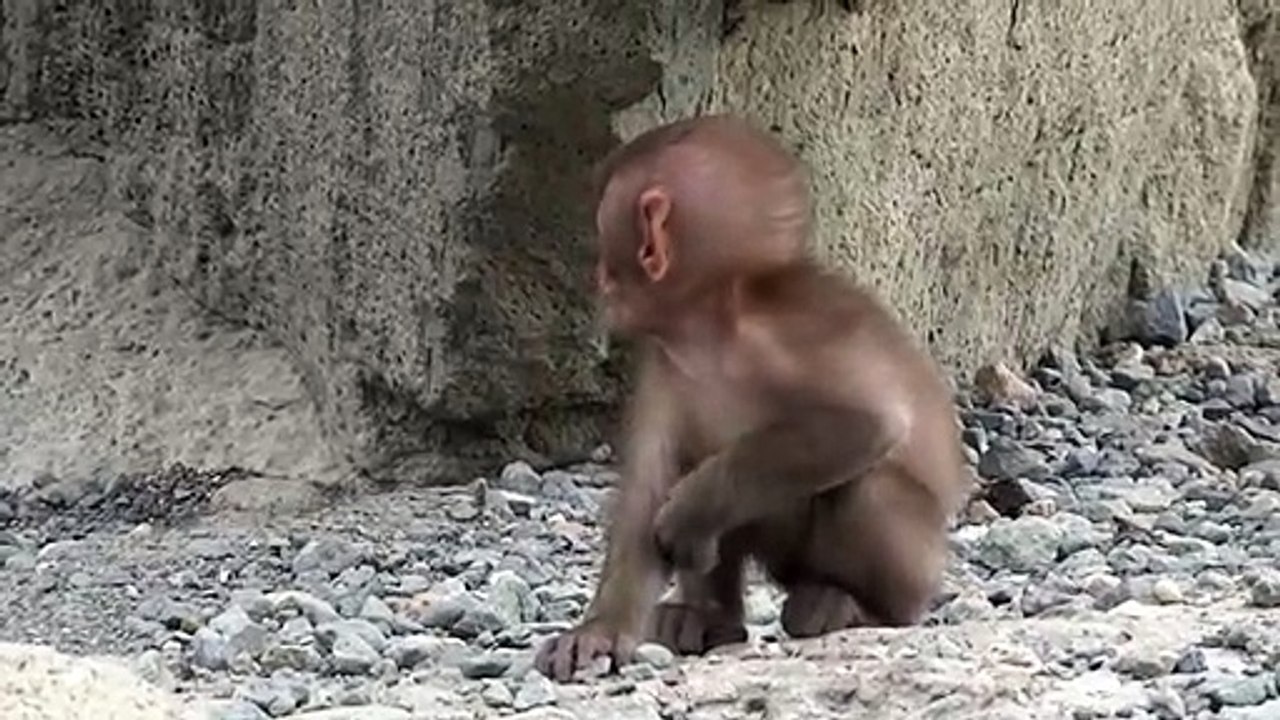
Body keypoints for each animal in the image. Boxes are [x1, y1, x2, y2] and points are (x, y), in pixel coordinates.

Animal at [534, 114, 971, 683]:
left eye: (608, 236)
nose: (599, 278)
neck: (710, 329)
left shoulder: (791, 331)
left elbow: (868, 421)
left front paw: (690, 509)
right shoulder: (664, 368)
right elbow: (649, 490)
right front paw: (598, 633)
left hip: (918, 562)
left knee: (868, 486)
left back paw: (853, 606)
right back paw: (709, 618)